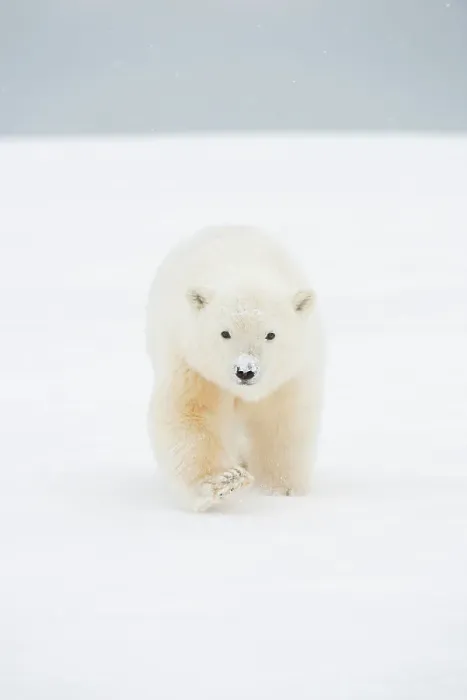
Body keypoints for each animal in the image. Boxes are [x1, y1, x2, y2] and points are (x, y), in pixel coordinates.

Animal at [146, 226, 324, 511]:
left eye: (271, 334)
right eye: (225, 333)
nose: (245, 371)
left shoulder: (290, 376)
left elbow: (281, 422)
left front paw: (281, 489)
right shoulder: (192, 364)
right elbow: (190, 413)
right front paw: (225, 480)